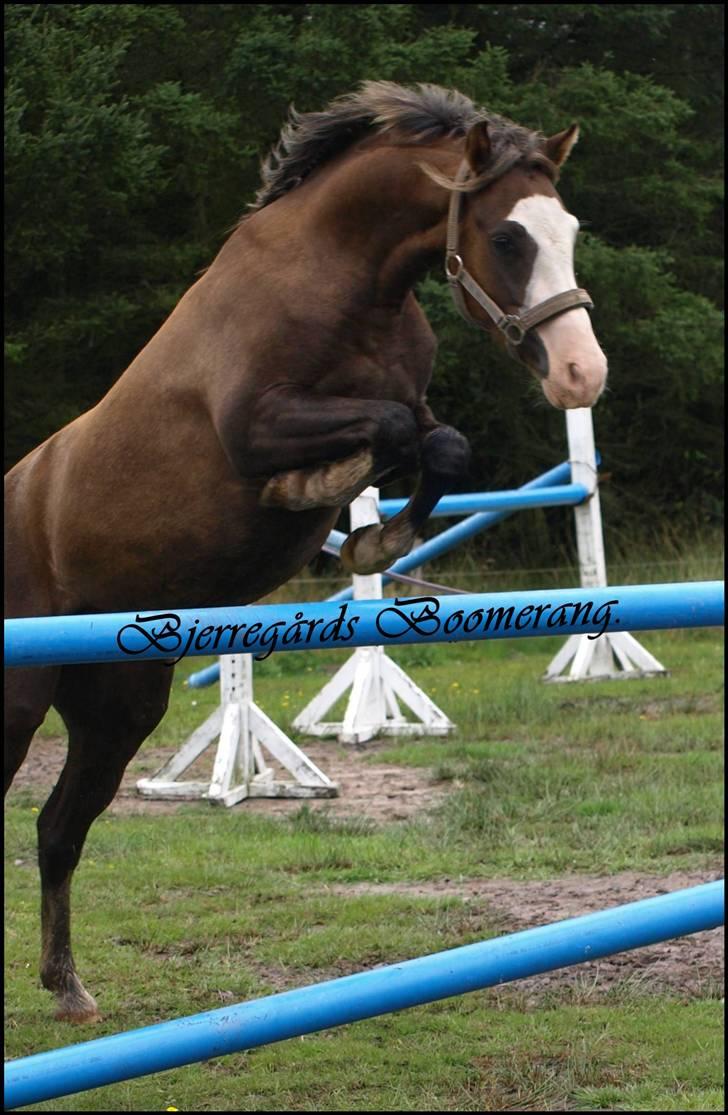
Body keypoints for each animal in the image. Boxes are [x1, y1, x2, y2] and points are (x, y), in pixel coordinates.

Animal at [4, 81, 607, 1022]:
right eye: (509, 236)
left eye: (569, 229)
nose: (583, 374)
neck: (347, 283)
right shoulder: (256, 426)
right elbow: (383, 433)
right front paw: (315, 489)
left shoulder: (412, 409)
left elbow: (440, 445)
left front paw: (372, 535)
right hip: (18, 699)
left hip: (117, 703)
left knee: (59, 828)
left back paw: (69, 988)